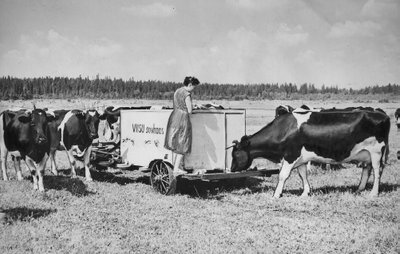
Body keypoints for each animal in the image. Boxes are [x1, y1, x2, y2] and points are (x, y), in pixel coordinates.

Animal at [231, 108, 390, 197]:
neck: (283, 130)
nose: (232, 169)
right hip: (366, 153)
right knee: (366, 170)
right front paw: (305, 193)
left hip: (377, 152)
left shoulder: (290, 155)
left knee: (377, 171)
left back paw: (373, 193)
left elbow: (282, 175)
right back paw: (359, 189)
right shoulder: (300, 158)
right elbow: (303, 175)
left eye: (235, 154)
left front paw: (276, 194)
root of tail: (383, 115)